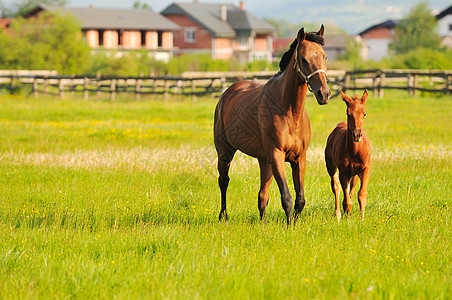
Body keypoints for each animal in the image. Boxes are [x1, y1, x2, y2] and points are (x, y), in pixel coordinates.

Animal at [214, 25, 330, 224]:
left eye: (324, 56)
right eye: (304, 59)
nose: (324, 93)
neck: (290, 112)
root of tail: (227, 93)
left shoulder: (299, 158)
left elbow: (300, 199)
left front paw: (295, 223)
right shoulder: (277, 155)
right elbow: (287, 197)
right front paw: (289, 225)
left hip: (264, 160)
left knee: (262, 195)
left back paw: (262, 221)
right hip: (225, 151)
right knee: (224, 181)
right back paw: (224, 216)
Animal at [324, 89, 370, 220]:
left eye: (364, 113)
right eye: (348, 113)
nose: (357, 135)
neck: (355, 151)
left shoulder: (365, 168)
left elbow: (362, 194)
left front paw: (362, 219)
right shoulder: (343, 171)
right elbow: (346, 201)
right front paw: (347, 217)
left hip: (354, 174)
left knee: (352, 189)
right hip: (331, 166)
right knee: (336, 186)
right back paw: (338, 214)